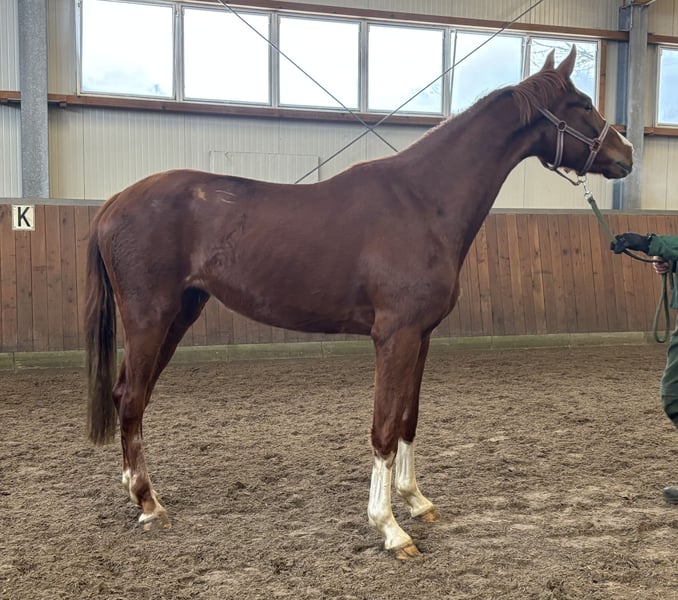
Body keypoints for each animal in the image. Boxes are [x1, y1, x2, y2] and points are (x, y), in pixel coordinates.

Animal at [85, 46, 633, 559]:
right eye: (583, 104)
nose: (626, 153)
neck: (422, 202)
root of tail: (113, 203)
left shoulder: (422, 336)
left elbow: (409, 419)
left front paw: (416, 501)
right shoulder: (394, 336)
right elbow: (384, 428)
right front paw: (389, 528)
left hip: (179, 316)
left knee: (131, 396)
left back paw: (135, 491)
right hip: (151, 318)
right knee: (131, 398)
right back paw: (149, 503)